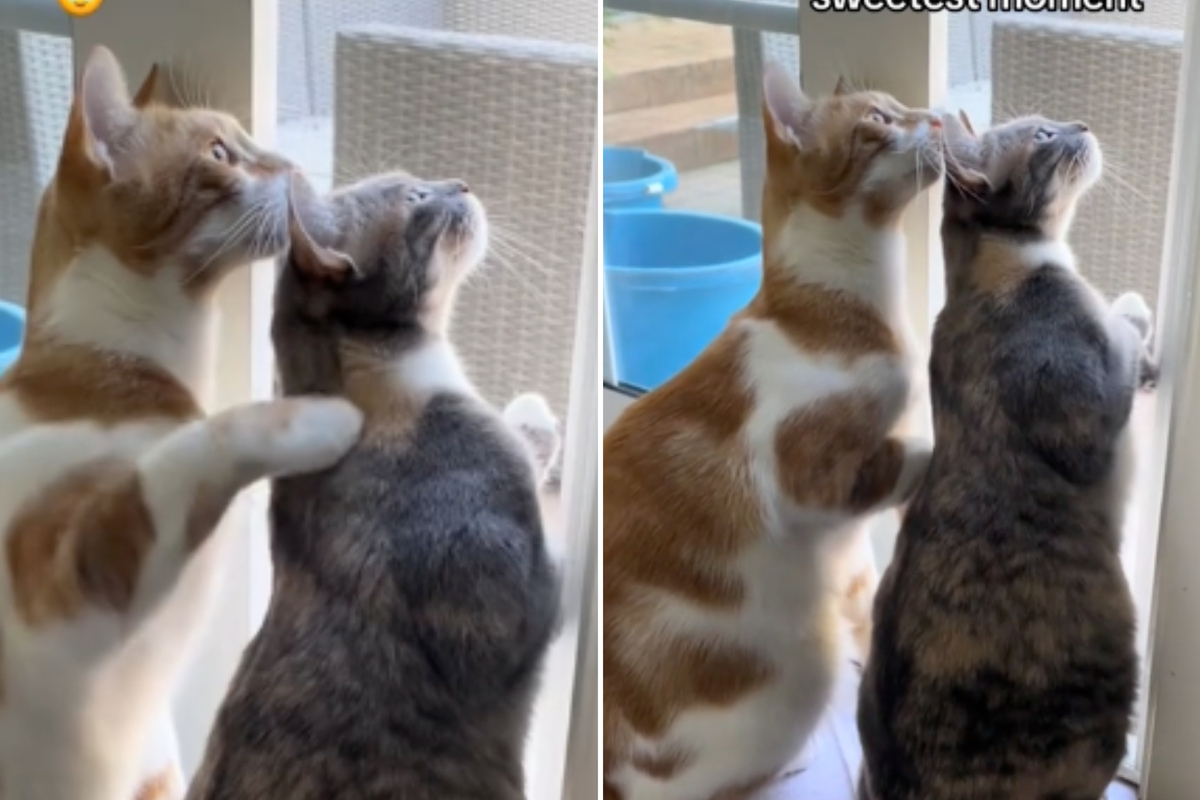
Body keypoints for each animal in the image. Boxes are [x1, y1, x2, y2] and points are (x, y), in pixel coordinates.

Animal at [0, 48, 360, 800]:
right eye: (220, 153)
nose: (295, 165)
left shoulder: (156, 768)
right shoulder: (63, 583)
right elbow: (198, 444)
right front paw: (319, 418)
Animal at [604, 65, 940, 796]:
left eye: (903, 107)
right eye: (879, 120)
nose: (935, 119)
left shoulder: (850, 552)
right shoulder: (811, 471)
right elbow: (915, 450)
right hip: (802, 669)